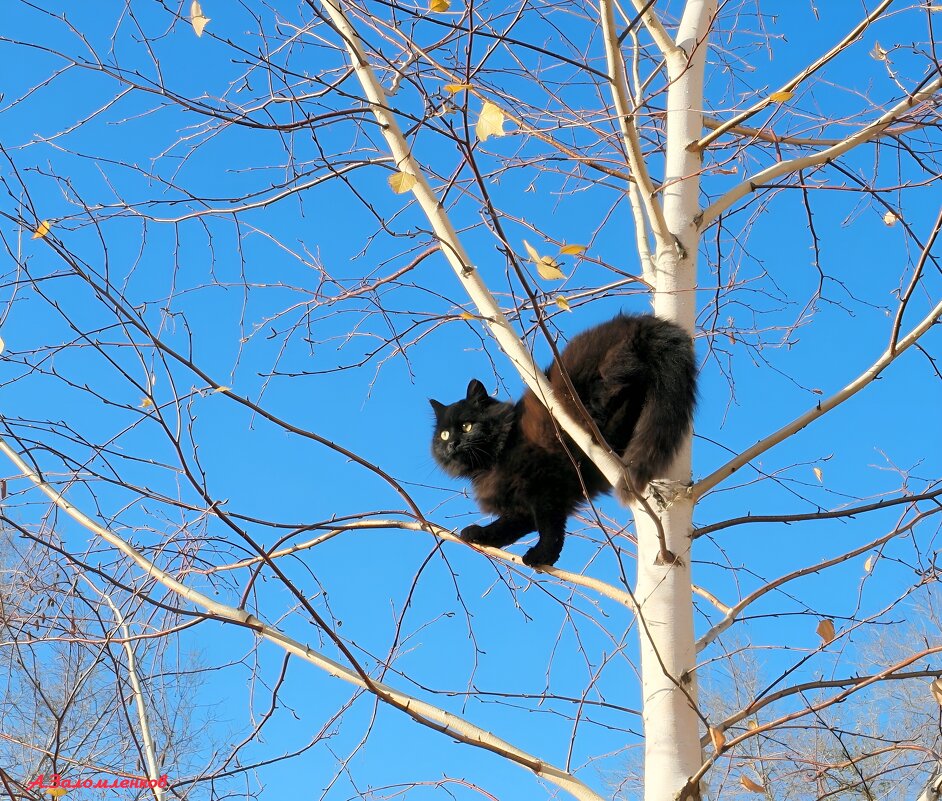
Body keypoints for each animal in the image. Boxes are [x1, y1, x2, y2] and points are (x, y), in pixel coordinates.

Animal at [432, 314, 696, 568]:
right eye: (443, 434)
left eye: (466, 426)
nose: (452, 444)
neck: (497, 455)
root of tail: (638, 321)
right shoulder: (523, 506)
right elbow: (505, 529)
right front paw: (478, 534)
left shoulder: (545, 487)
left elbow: (550, 528)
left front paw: (542, 556)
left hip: (600, 381)